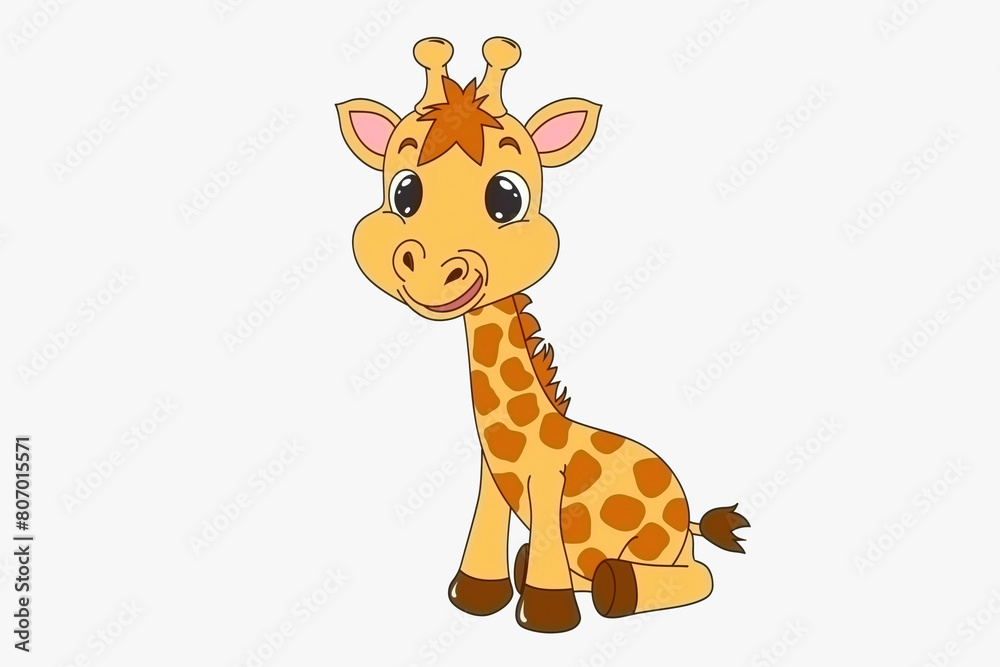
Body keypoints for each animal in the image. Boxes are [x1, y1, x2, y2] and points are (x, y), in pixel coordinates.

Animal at [336, 36, 749, 633]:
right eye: (404, 191)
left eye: (507, 197)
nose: (433, 268)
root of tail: (688, 513)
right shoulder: (493, 477)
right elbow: (489, 530)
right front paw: (477, 595)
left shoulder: (550, 481)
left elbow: (550, 546)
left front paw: (547, 614)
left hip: (659, 547)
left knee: (693, 576)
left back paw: (617, 587)